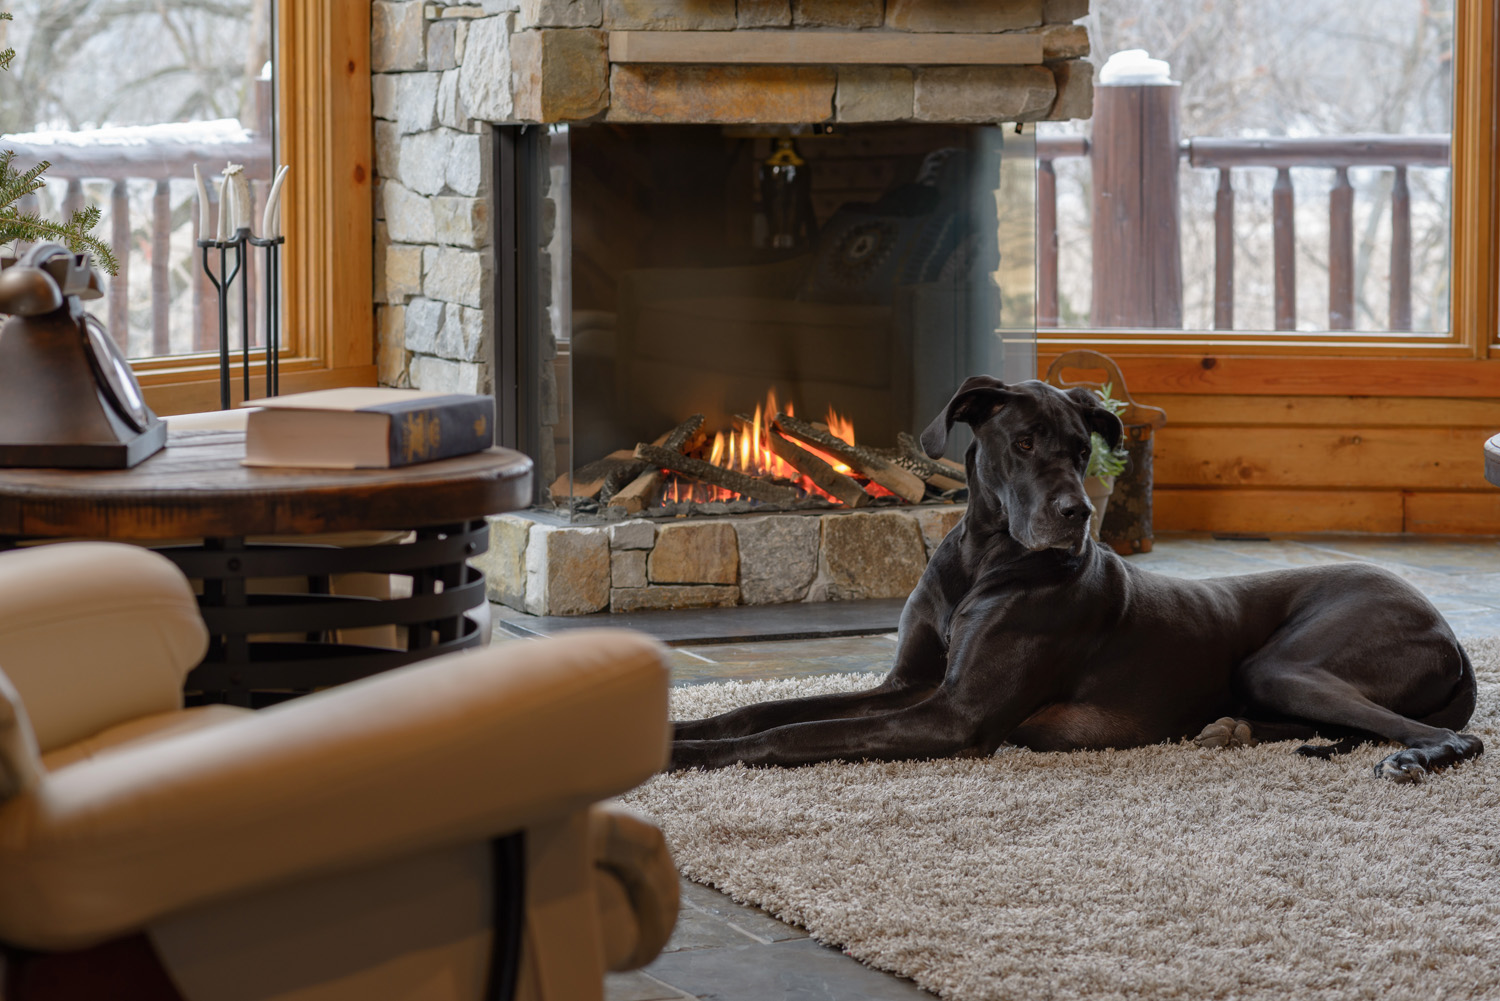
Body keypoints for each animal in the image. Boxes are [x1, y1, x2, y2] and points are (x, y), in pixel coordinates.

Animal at [675, 375, 1482, 780]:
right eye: (1025, 442)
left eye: (1080, 446)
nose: (1077, 513)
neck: (983, 560)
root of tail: (1447, 627)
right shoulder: (908, 686)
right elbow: (764, 712)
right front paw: (683, 728)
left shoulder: (954, 715)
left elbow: (796, 733)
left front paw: (689, 758)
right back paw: (1234, 729)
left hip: (1286, 661)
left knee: (1451, 736)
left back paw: (1415, 757)